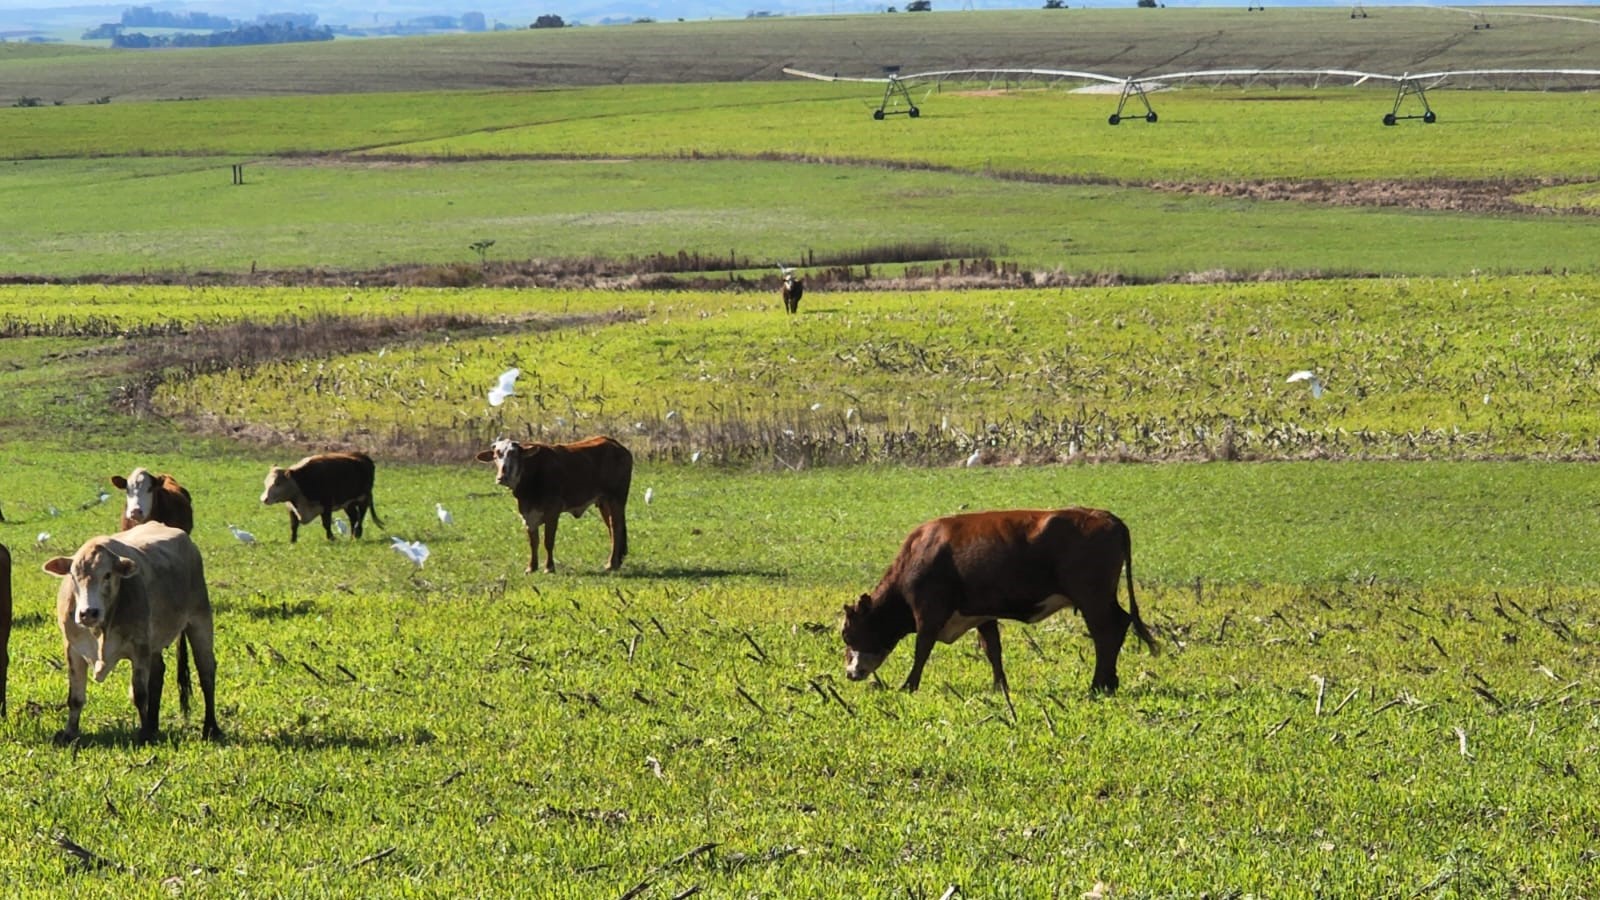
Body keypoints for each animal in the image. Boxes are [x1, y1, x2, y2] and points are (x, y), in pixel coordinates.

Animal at [41, 518, 222, 743]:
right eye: (73, 576)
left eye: (107, 575)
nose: (88, 613)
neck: (101, 631)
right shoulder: (73, 649)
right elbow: (75, 697)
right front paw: (69, 733)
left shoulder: (139, 648)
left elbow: (139, 694)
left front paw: (144, 734)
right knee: (158, 673)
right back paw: (153, 725)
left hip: (200, 620)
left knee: (206, 672)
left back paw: (211, 727)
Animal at [473, 435, 630, 573]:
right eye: (495, 456)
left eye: (515, 455)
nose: (502, 477)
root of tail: (615, 444)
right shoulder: (528, 515)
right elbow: (533, 542)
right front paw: (532, 567)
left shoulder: (552, 512)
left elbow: (548, 541)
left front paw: (549, 567)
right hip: (604, 502)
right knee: (611, 528)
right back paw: (615, 561)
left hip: (617, 498)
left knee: (616, 528)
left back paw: (612, 563)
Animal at [838, 509, 1164, 688]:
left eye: (847, 634)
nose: (851, 673)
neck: (921, 553)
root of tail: (1106, 516)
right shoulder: (983, 614)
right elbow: (992, 649)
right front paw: (999, 686)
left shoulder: (928, 613)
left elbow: (922, 649)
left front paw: (909, 685)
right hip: (1101, 598)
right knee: (1120, 623)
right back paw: (1109, 682)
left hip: (1092, 598)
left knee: (1106, 633)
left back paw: (1098, 684)